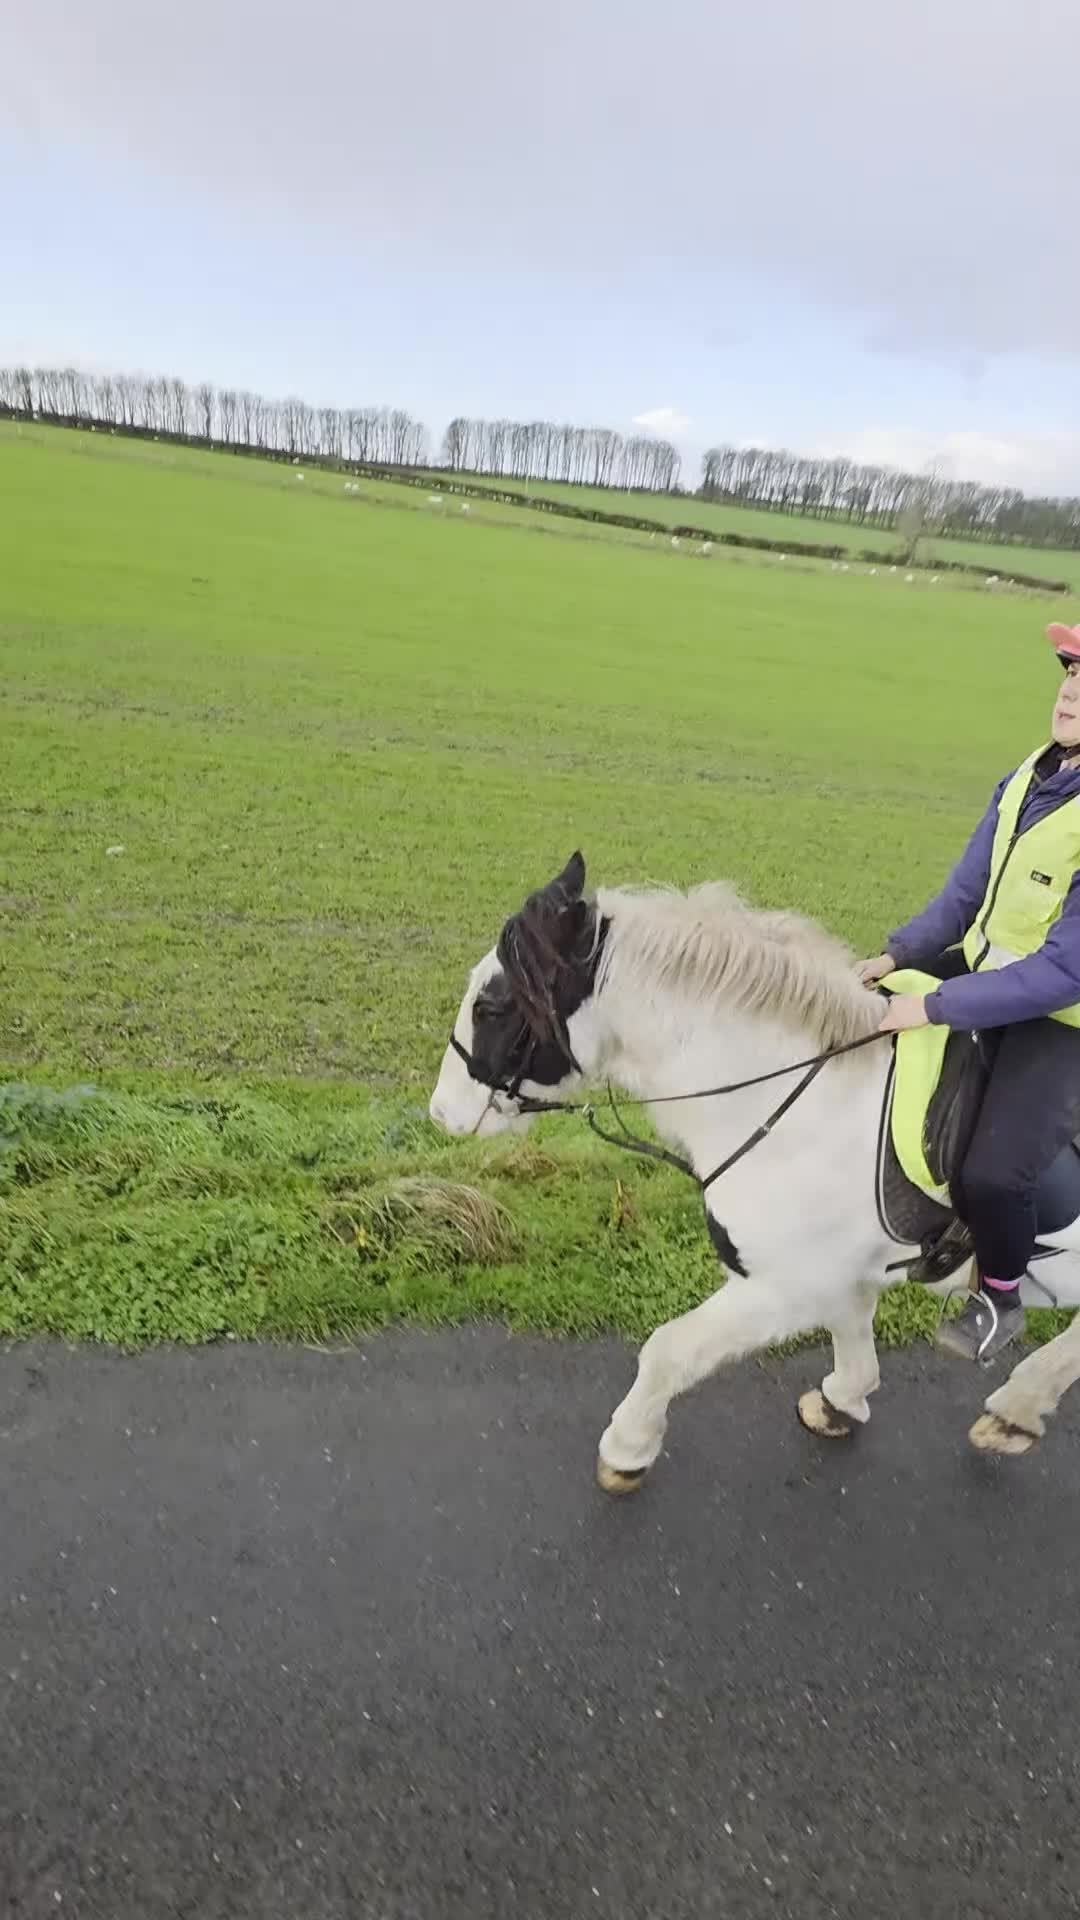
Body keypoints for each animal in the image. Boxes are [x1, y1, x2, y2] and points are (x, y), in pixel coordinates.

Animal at [428, 854, 1080, 1486]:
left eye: (490, 1006)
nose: (441, 1112)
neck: (806, 1104)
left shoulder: (786, 1285)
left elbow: (667, 1349)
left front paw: (627, 1448)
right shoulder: (836, 1275)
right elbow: (851, 1334)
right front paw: (842, 1401)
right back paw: (1018, 1410)